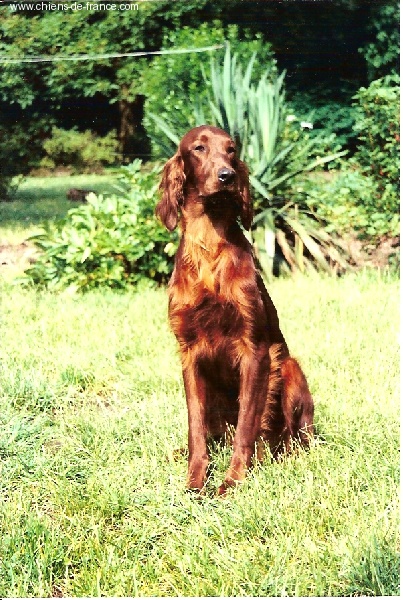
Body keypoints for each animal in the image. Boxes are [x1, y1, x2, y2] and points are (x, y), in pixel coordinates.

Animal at [156, 125, 314, 492]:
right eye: (198, 148)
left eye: (231, 150)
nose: (227, 176)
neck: (208, 244)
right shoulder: (188, 351)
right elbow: (196, 427)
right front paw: (195, 481)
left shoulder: (254, 349)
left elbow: (246, 425)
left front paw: (232, 481)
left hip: (289, 368)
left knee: (294, 437)